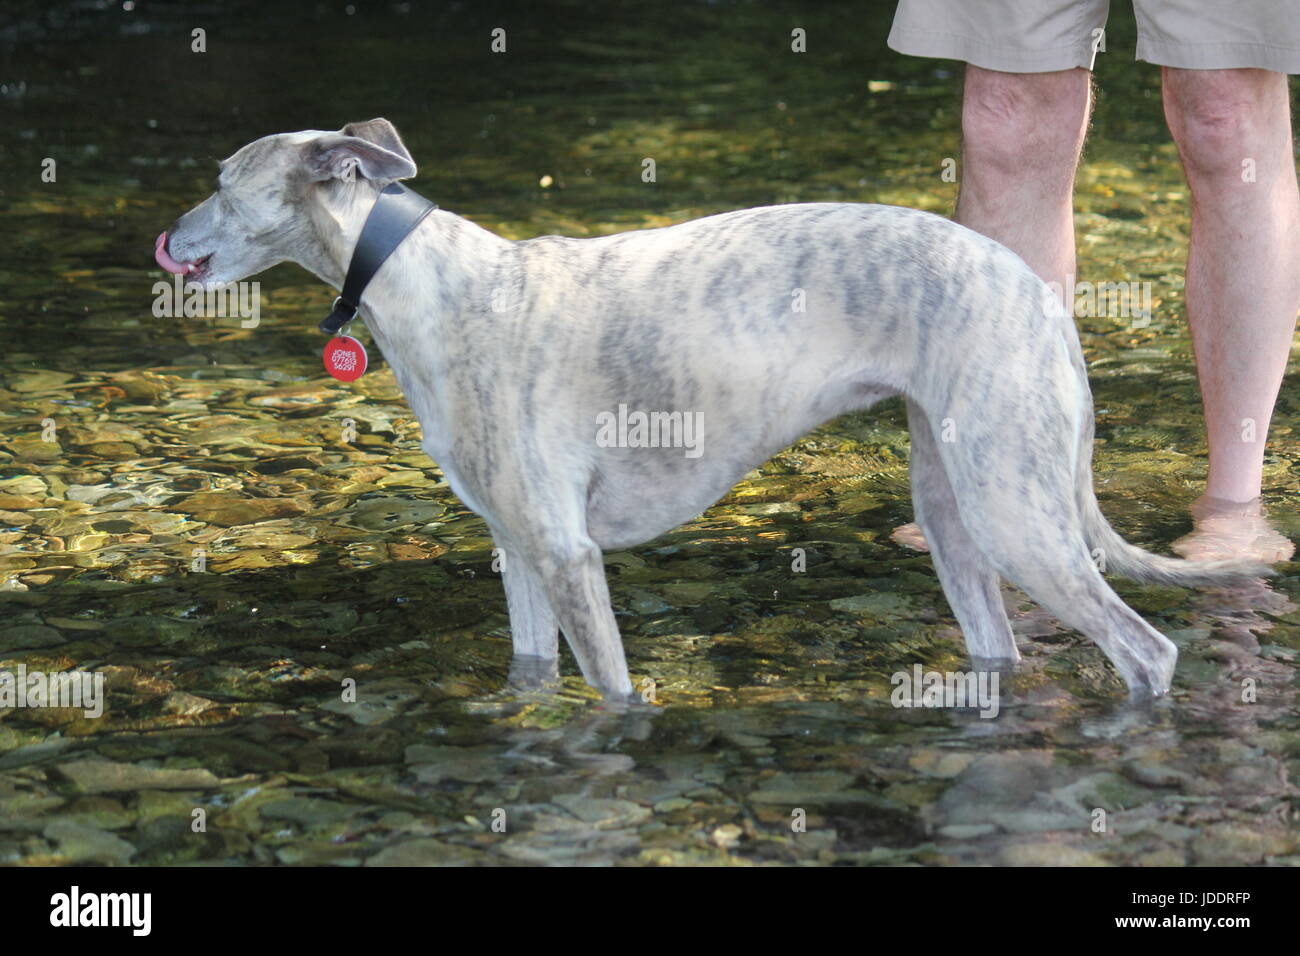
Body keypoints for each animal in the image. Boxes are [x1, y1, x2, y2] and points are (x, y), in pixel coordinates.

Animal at [157, 117, 1263, 702]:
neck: (432, 281)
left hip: (1017, 515)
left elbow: (611, 693)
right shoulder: (516, 549)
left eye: (219, 181)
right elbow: (530, 673)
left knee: (1148, 648)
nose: (164, 240)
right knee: (1000, 643)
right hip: (959, 514)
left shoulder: (567, 553)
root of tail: (1040, 295)